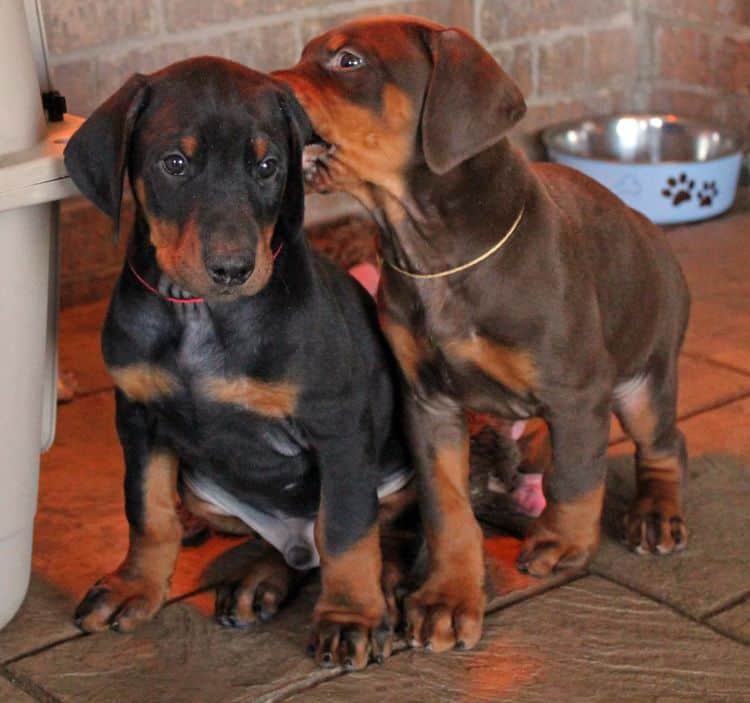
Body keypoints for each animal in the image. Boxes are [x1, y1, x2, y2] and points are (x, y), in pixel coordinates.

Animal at [63, 57, 418, 668]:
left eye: (268, 166)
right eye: (175, 163)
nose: (233, 268)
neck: (199, 314)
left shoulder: (338, 427)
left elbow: (347, 531)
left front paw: (350, 617)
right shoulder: (137, 415)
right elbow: (146, 510)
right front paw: (135, 587)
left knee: (358, 535)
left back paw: (386, 588)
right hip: (202, 490)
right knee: (296, 550)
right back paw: (260, 581)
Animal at [276, 15, 692, 656]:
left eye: (349, 61)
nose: (262, 90)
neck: (434, 252)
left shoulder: (577, 393)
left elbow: (576, 476)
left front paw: (562, 543)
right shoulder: (427, 404)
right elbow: (447, 507)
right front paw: (447, 597)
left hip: (643, 377)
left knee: (664, 442)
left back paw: (655, 512)